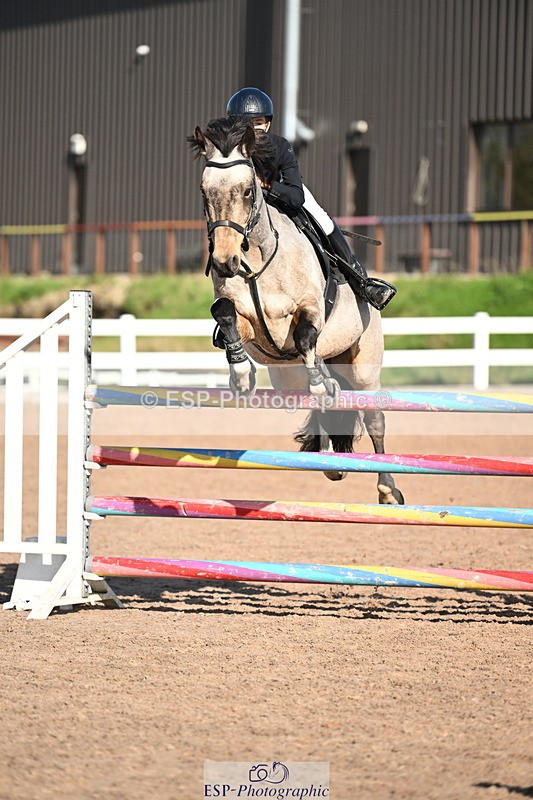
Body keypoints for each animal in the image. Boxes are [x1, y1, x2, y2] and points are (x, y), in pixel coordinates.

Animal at [189, 116, 404, 505]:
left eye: (248, 191)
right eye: (204, 191)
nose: (225, 262)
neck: (256, 256)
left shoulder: (308, 309)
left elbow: (304, 334)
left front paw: (318, 385)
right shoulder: (250, 323)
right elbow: (224, 312)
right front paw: (240, 373)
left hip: (363, 367)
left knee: (374, 417)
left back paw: (387, 489)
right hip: (288, 376)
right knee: (324, 396)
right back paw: (331, 458)